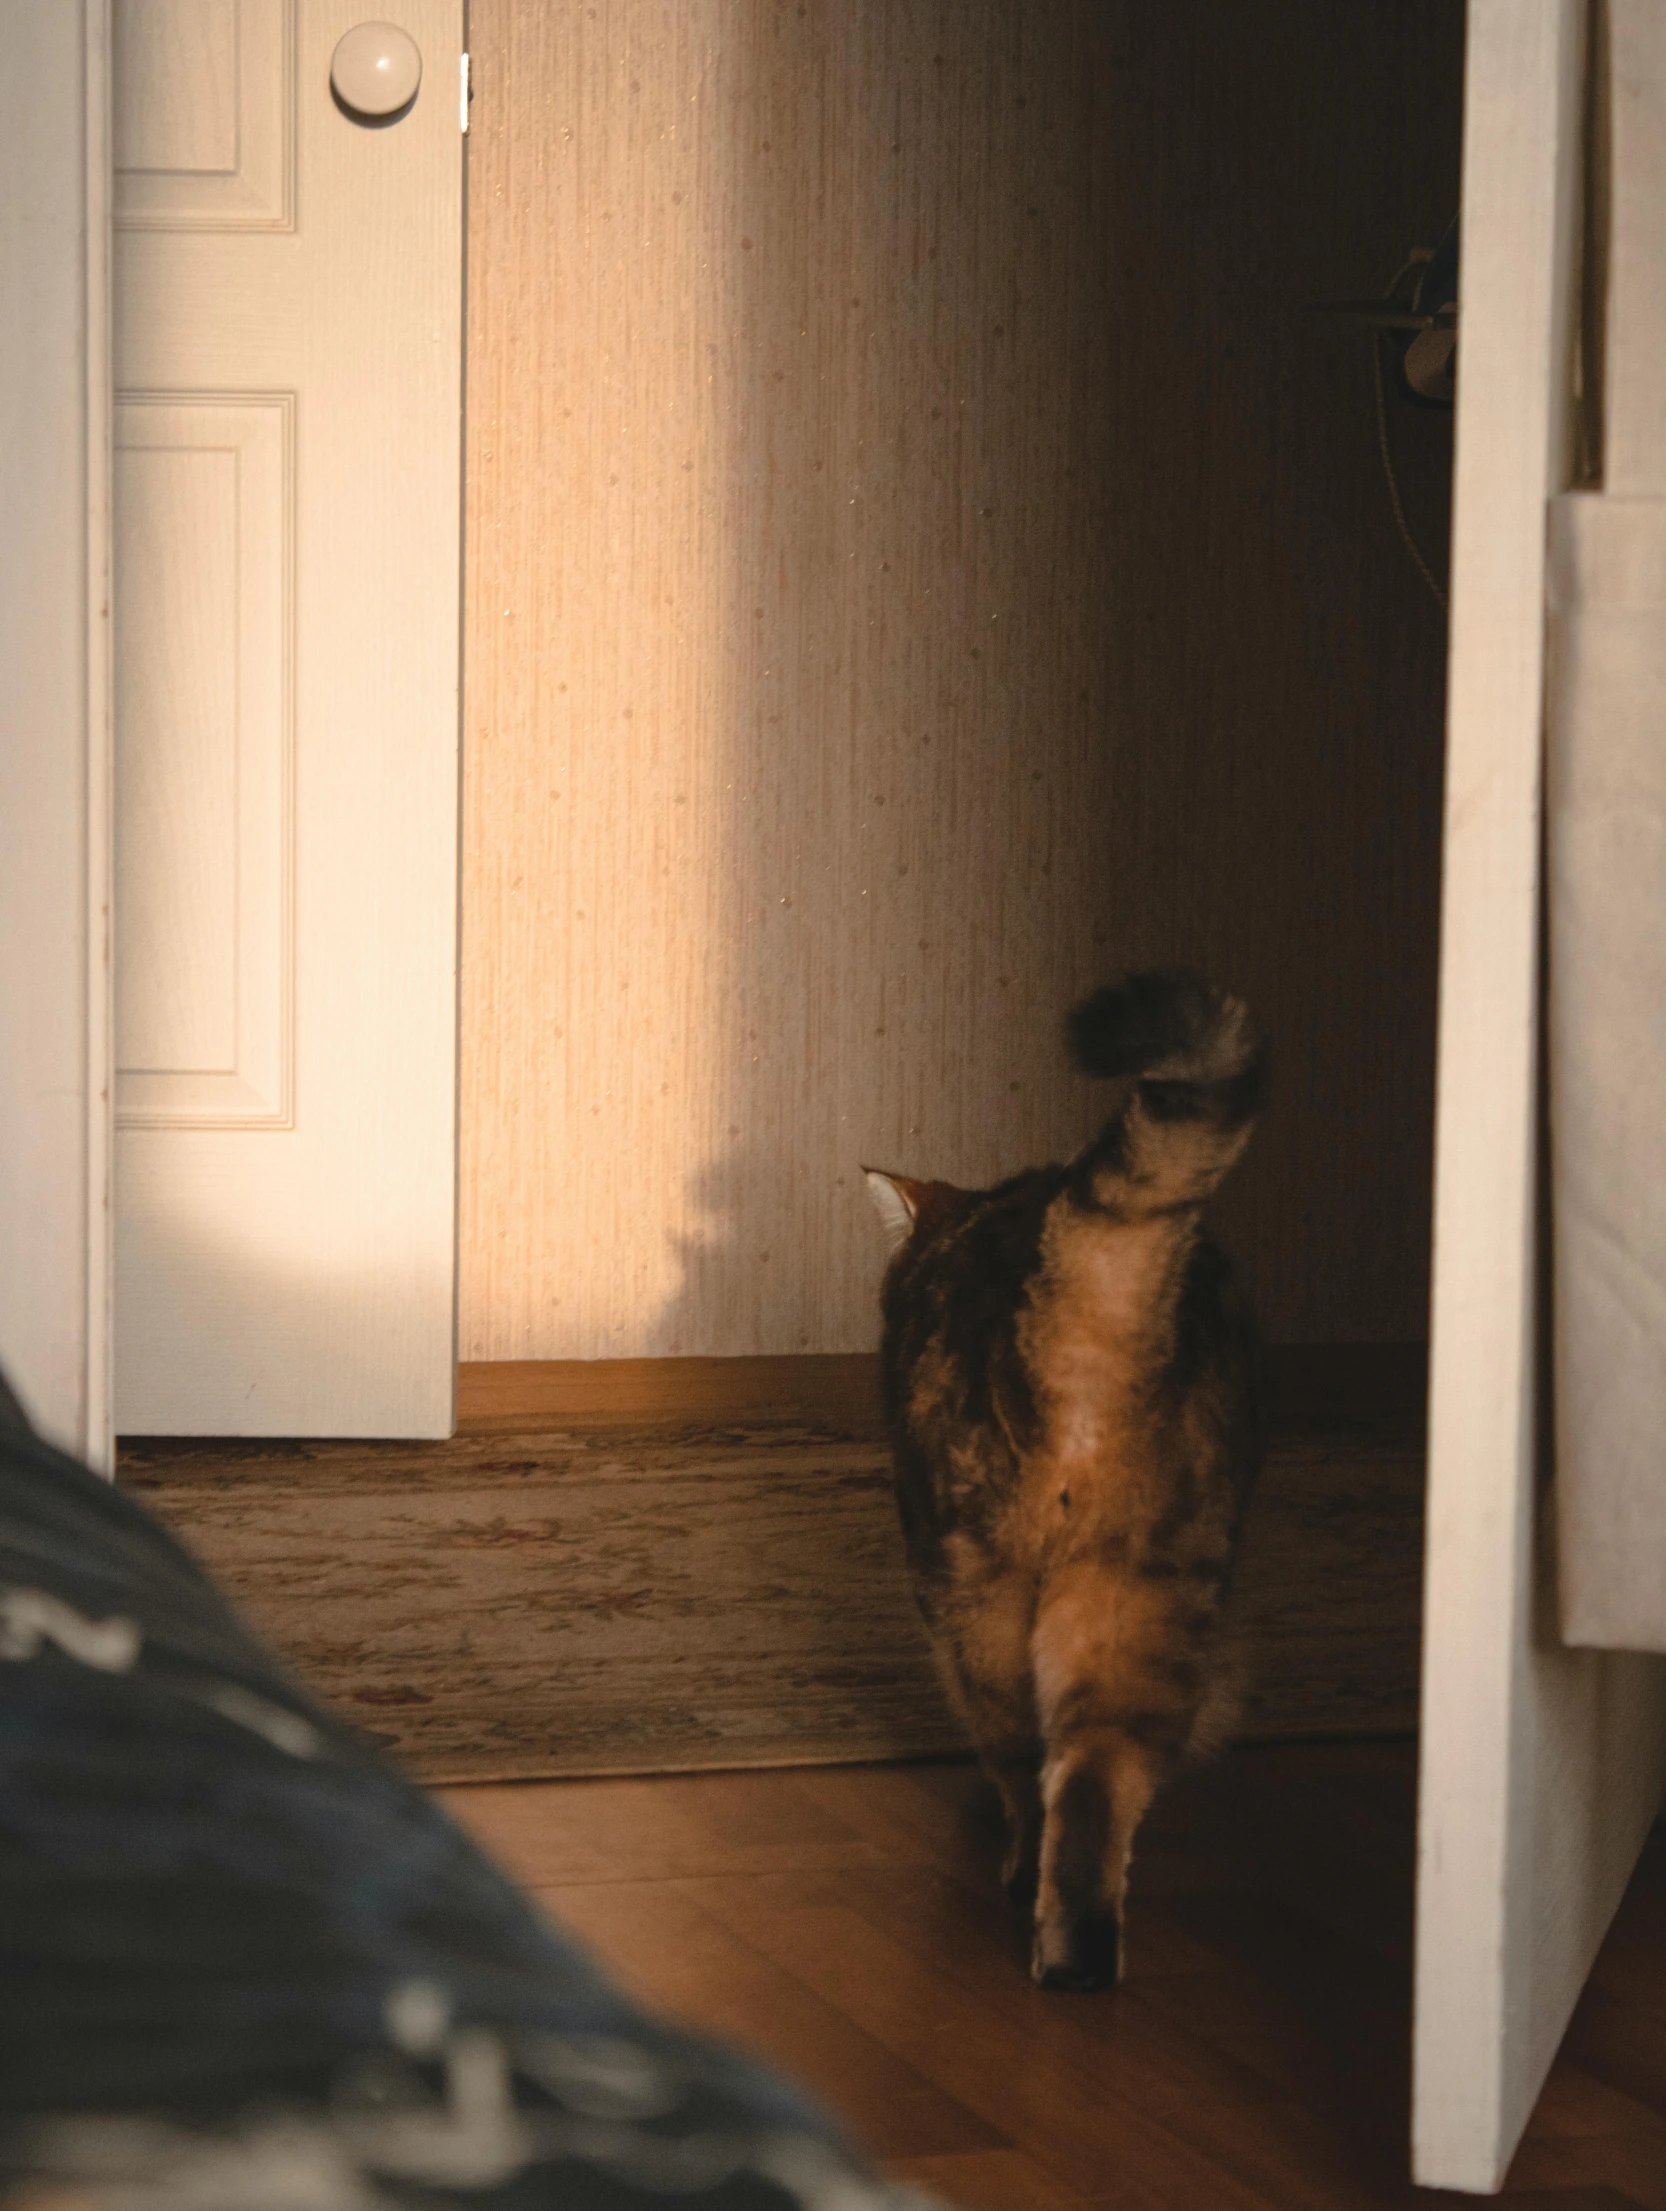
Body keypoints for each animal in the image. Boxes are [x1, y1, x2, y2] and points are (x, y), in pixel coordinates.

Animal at [870, 968, 1255, 1989]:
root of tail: (1093, 1316)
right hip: (1147, 1595)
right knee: (1097, 1778)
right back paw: (1079, 1958)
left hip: (985, 1593)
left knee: (1030, 1762)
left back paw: (1024, 1892)